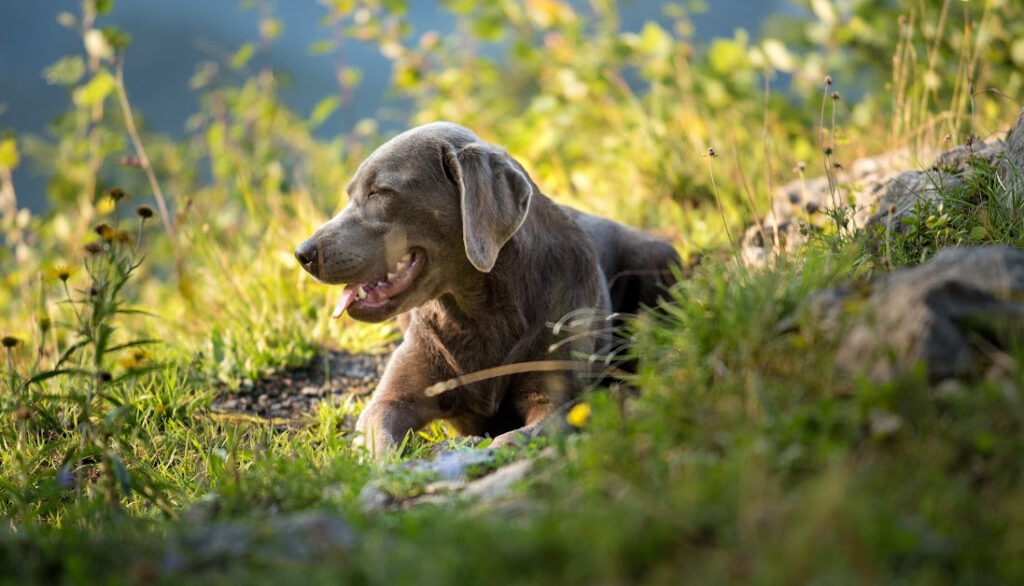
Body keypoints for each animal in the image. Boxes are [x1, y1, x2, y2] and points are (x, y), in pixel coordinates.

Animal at [296, 122, 679, 456]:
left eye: (379, 192)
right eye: (351, 194)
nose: (303, 253)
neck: (478, 312)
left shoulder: (559, 400)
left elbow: (516, 437)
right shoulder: (389, 400)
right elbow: (382, 443)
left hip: (656, 255)